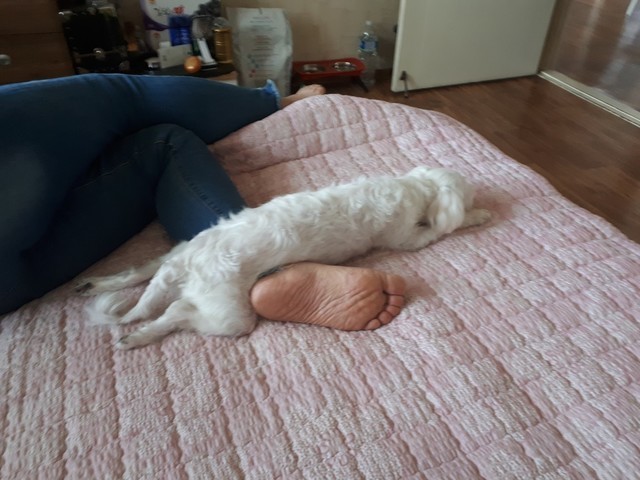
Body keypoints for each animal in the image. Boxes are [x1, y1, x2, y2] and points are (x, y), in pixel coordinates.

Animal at [78, 166, 491, 349]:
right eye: (471, 195)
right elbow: (439, 230)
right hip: (230, 314)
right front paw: (479, 215)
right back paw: (140, 336)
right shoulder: (406, 237)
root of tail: (191, 261)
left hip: (175, 256)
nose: (481, 199)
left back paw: (102, 288)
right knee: (178, 312)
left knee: (143, 276)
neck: (412, 186)